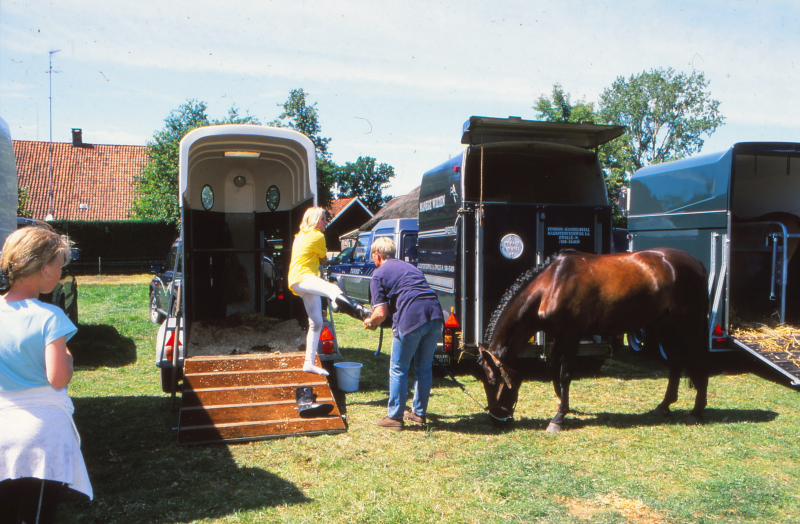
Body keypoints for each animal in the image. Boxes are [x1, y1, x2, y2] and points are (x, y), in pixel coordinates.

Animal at [478, 248, 708, 432]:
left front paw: (558, 418)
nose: (497, 420)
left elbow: (565, 374)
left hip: (689, 323)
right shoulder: (559, 336)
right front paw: (562, 405)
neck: (553, 283)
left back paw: (696, 412)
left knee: (698, 361)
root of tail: (696, 263)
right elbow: (552, 367)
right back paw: (664, 406)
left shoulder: (572, 336)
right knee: (676, 362)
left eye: (493, 381)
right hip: (664, 325)